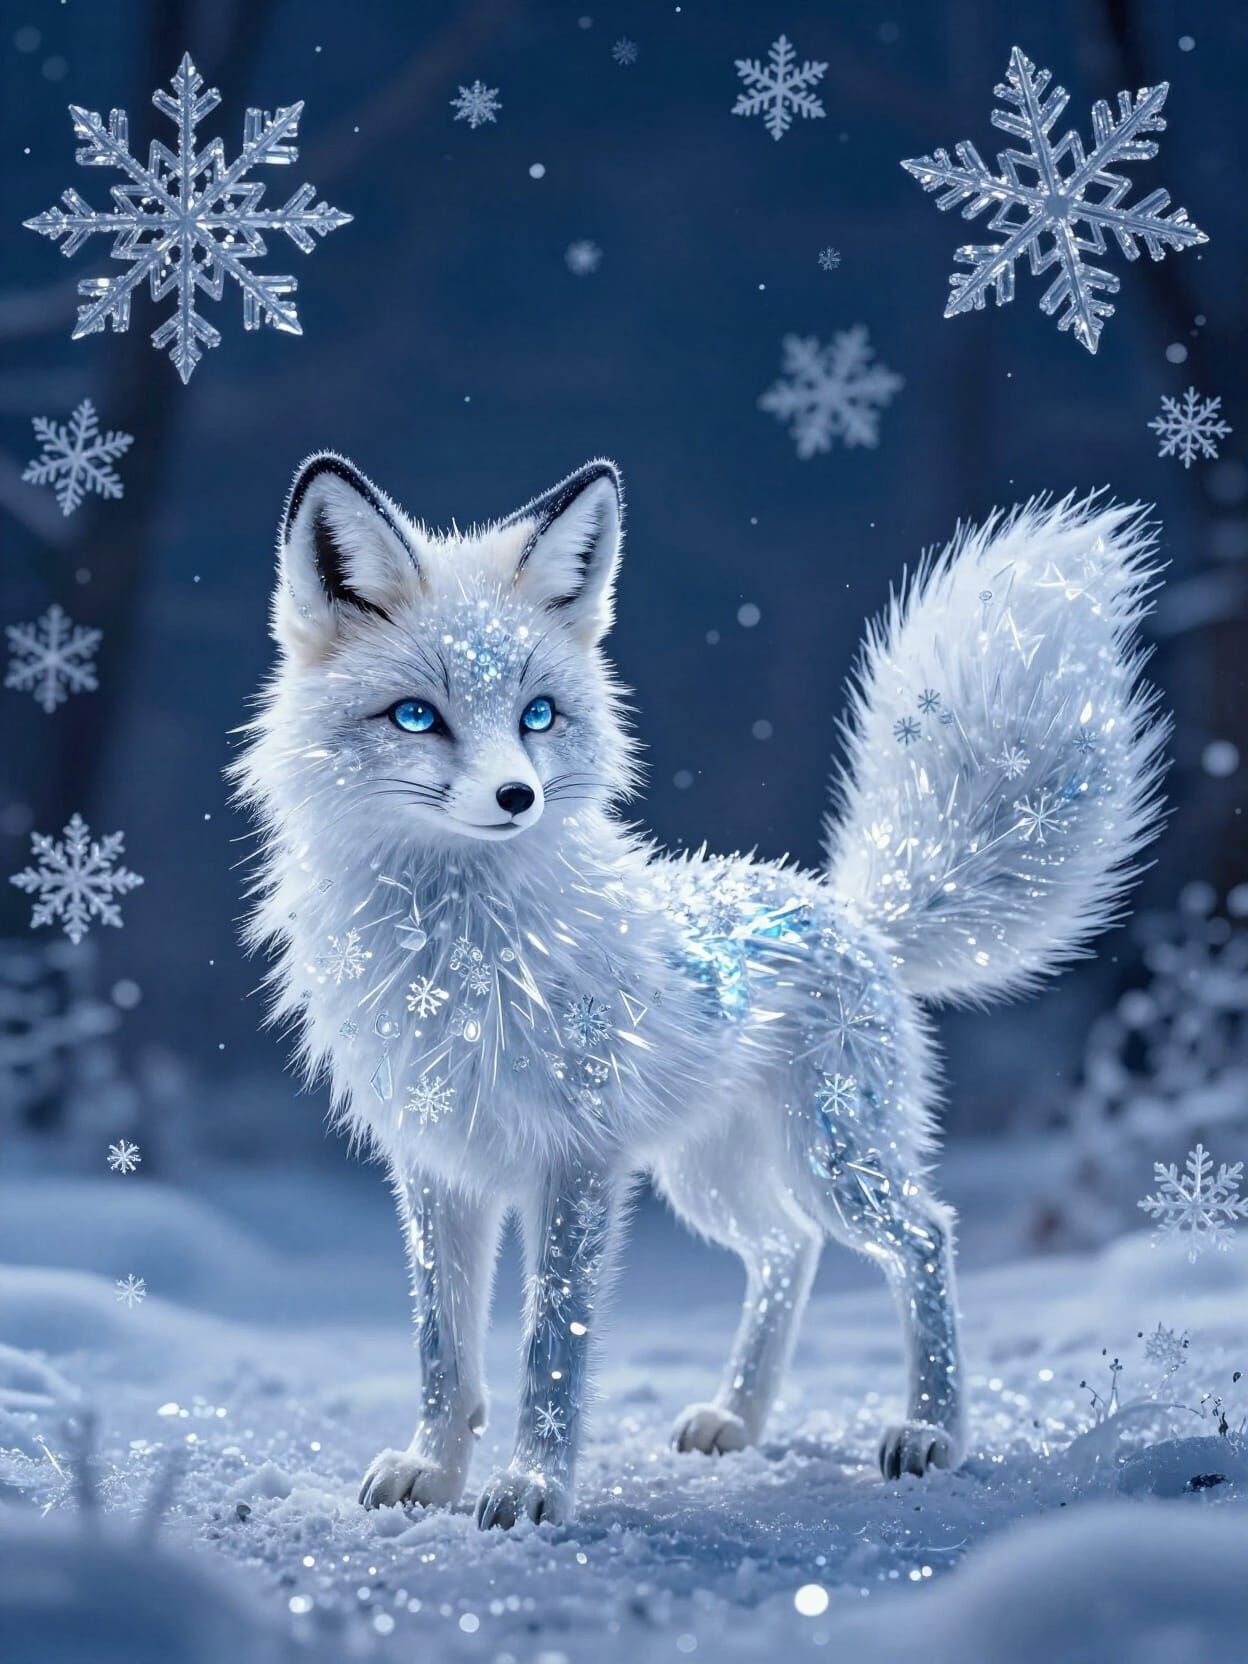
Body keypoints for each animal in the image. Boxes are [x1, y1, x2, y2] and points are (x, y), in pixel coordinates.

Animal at [234, 453, 1166, 1529]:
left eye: (537, 714)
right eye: (418, 715)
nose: (519, 798)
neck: (457, 952)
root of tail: (850, 912)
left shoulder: (575, 1161)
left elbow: (552, 1345)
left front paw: (532, 1485)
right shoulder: (437, 1164)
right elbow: (443, 1352)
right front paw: (435, 1471)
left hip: (833, 1162)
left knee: (925, 1236)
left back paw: (933, 1428)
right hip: (708, 1182)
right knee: (788, 1250)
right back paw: (739, 1417)